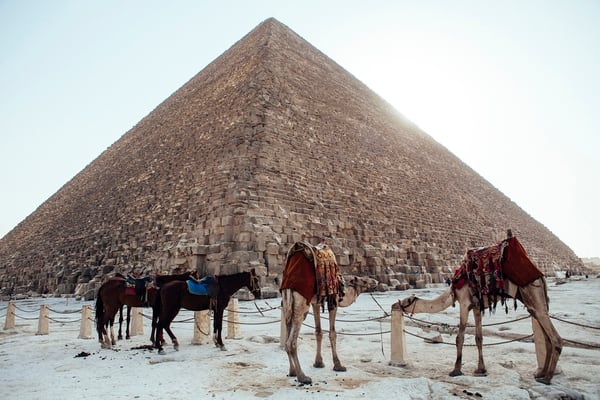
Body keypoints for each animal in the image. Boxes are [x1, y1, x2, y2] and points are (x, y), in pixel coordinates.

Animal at [396, 233, 560, 386]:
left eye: (407, 301)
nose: (395, 305)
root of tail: (541, 276)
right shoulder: (476, 306)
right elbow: (478, 337)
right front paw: (481, 369)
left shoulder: (464, 303)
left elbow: (459, 337)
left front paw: (455, 370)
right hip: (532, 302)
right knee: (546, 336)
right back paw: (541, 374)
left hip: (533, 292)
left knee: (555, 337)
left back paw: (547, 378)